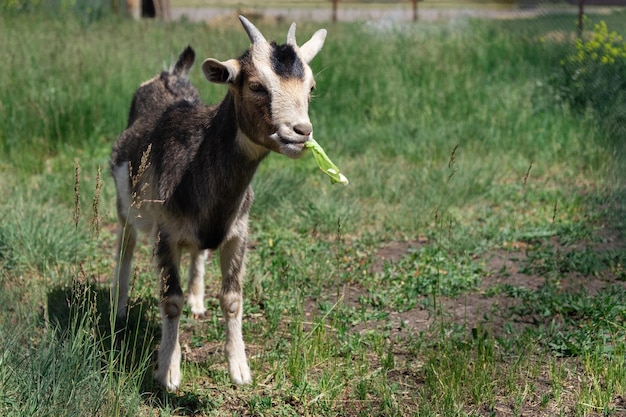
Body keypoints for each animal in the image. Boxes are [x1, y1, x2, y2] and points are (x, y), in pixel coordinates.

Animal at [111, 13, 326, 390]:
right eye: (256, 86)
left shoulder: (237, 233)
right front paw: (168, 372)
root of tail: (168, 75)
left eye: (311, 87)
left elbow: (233, 298)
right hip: (126, 210)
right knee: (126, 247)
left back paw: (198, 301)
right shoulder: (166, 233)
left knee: (198, 253)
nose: (301, 132)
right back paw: (120, 310)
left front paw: (239, 369)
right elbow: (170, 300)